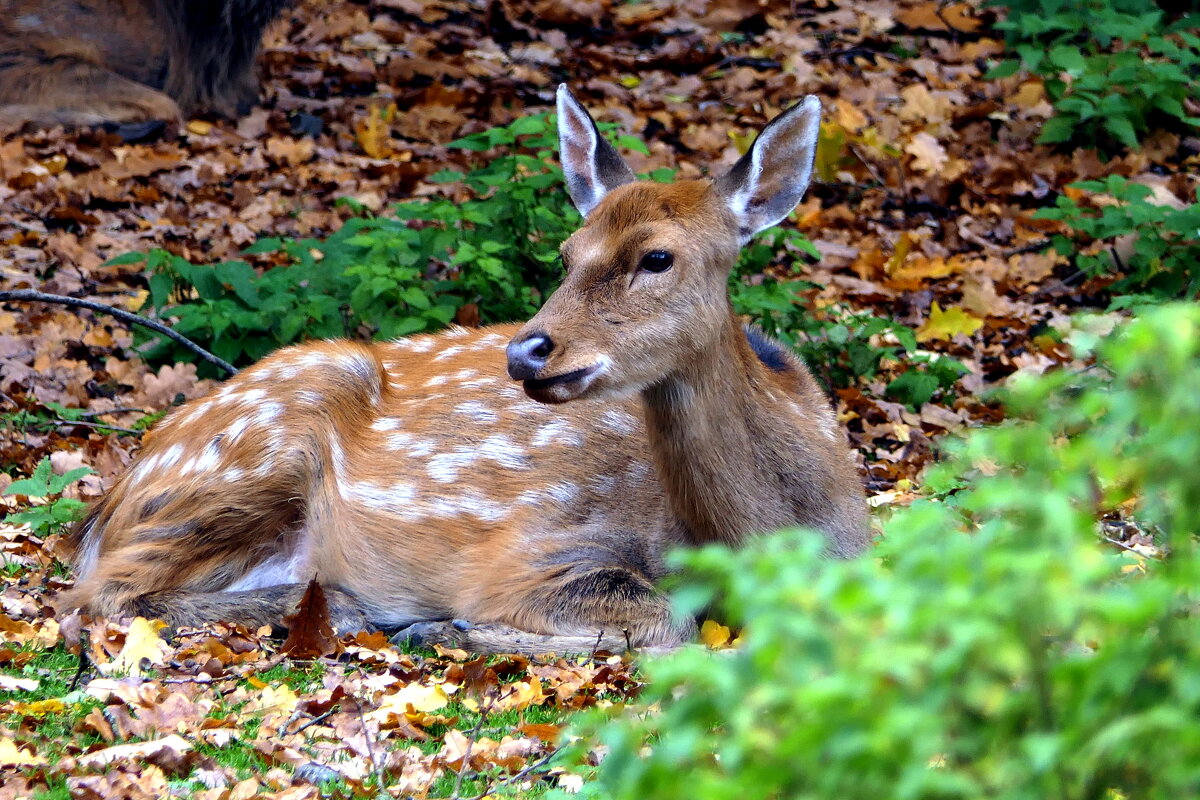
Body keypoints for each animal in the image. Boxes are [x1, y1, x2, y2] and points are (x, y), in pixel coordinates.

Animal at [60, 89, 868, 657]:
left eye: (657, 257)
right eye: (567, 252)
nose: (527, 350)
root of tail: (110, 501)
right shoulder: (531, 550)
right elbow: (667, 619)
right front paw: (447, 627)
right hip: (263, 442)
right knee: (100, 593)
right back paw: (349, 610)